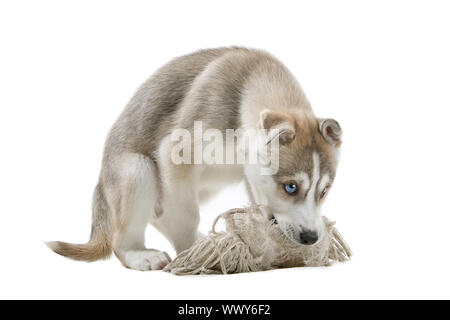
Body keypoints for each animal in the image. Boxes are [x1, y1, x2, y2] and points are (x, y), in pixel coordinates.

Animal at [46, 47, 342, 270]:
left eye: (324, 191)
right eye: (291, 187)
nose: (311, 238)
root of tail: (100, 180)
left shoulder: (250, 172)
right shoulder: (175, 152)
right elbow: (187, 215)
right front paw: (196, 255)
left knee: (160, 213)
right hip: (137, 170)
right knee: (124, 238)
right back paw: (141, 255)